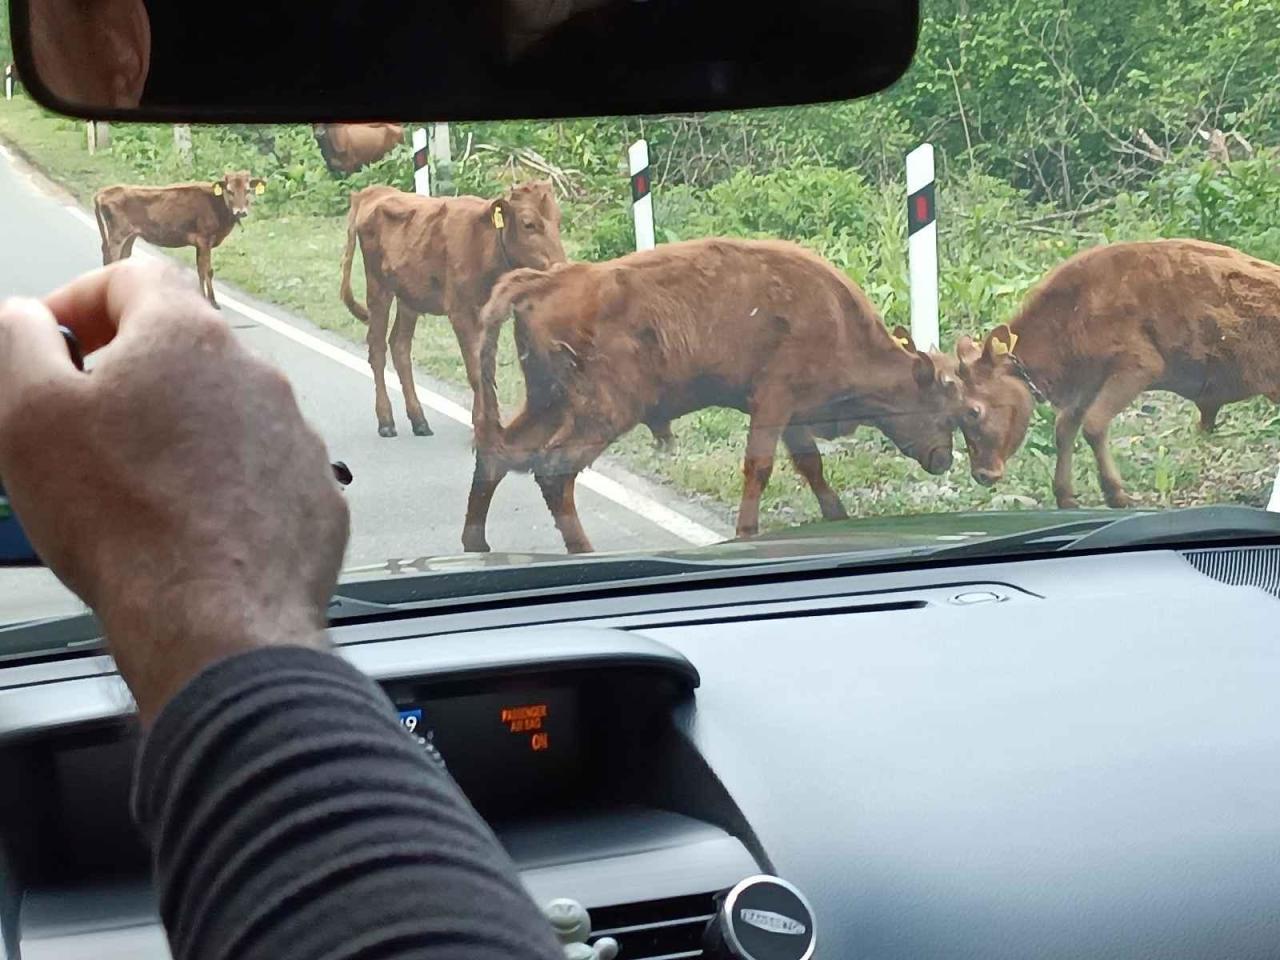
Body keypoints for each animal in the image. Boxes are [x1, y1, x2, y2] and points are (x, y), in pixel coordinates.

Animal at [94, 171, 267, 308]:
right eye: (230, 191)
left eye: (248, 190)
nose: (241, 212)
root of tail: (103, 192)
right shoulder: (205, 239)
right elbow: (208, 271)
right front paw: (212, 302)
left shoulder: (199, 243)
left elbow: (200, 270)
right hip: (117, 235)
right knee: (112, 260)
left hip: (130, 236)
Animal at [340, 180, 565, 440]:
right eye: (528, 224)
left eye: (558, 220)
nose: (561, 266)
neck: (484, 244)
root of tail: (373, 192)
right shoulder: (461, 312)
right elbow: (474, 370)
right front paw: (481, 425)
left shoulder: (490, 316)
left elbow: (487, 371)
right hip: (379, 287)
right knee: (377, 348)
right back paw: (386, 421)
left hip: (409, 298)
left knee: (399, 347)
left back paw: (419, 420)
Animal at [460, 238, 962, 555]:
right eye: (940, 410)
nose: (943, 459)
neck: (836, 319)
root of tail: (547, 280)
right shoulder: (774, 402)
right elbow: (760, 467)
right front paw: (747, 532)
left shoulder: (793, 415)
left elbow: (810, 465)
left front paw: (837, 517)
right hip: (601, 410)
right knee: (553, 468)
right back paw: (582, 550)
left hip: (547, 400)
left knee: (499, 452)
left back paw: (476, 543)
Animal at [957, 239, 1280, 512]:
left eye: (974, 410)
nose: (982, 474)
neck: (1075, 308)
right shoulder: (1088, 382)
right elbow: (1065, 427)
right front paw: (1065, 496)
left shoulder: (1136, 367)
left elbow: (1093, 425)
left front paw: (1116, 494)